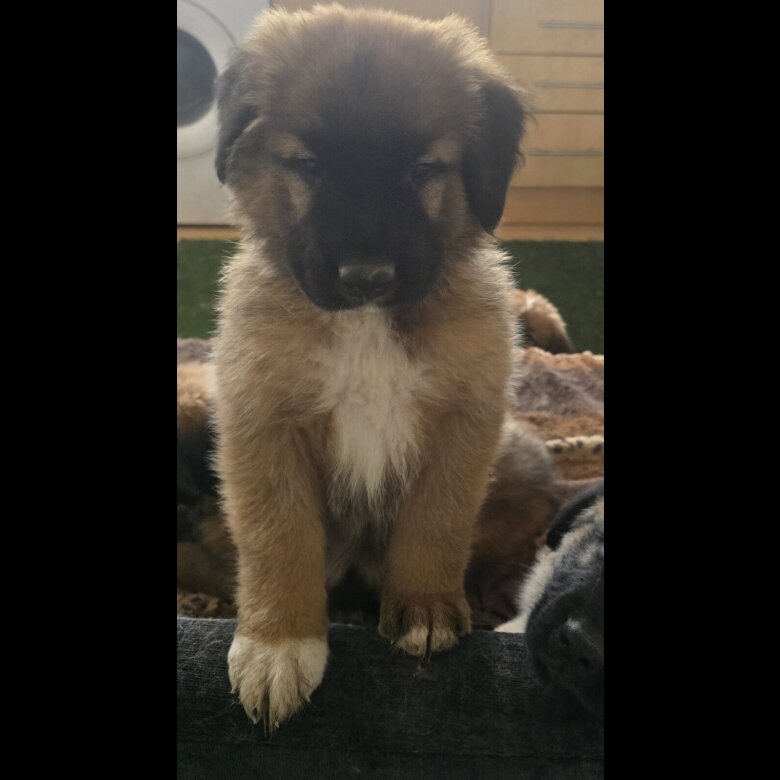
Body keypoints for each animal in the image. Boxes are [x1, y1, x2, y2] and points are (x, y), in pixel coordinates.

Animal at [212, 4, 528, 726]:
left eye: (421, 169)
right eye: (308, 165)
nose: (365, 278)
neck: (367, 329)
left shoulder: (466, 419)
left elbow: (437, 518)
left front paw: (425, 606)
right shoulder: (261, 423)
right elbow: (277, 537)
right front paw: (278, 643)